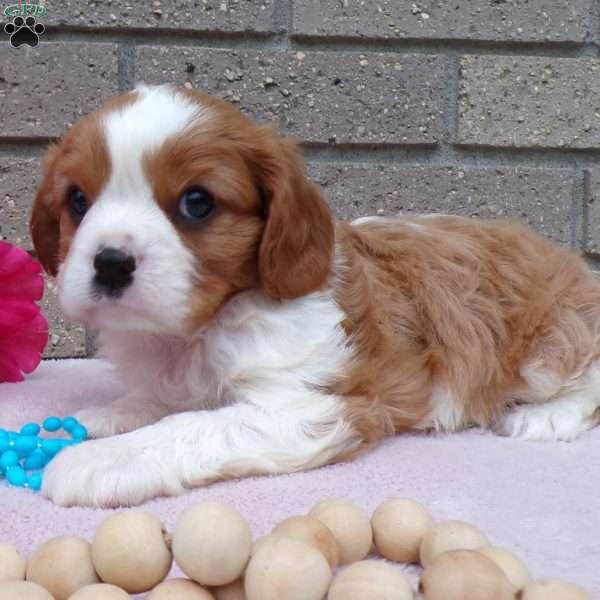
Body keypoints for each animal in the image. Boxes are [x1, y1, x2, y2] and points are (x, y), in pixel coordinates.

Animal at [31, 84, 600, 506]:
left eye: (197, 203)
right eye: (77, 200)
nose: (110, 262)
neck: (197, 331)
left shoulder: (313, 407)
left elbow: (193, 425)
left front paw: (103, 458)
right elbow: (159, 402)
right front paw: (104, 417)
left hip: (551, 339)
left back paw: (545, 415)